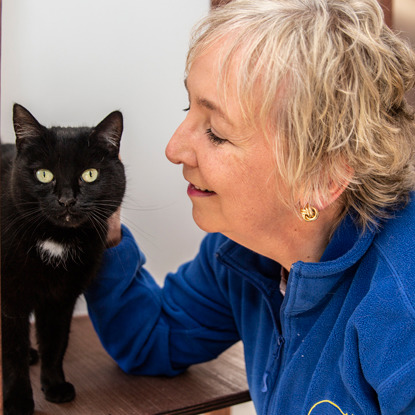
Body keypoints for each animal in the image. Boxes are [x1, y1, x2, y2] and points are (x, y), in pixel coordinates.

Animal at [1, 104, 126, 415]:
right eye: (44, 175)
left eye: (90, 174)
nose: (67, 200)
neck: (55, 239)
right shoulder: (9, 296)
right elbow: (12, 351)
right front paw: (18, 401)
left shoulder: (61, 296)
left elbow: (56, 343)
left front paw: (55, 386)